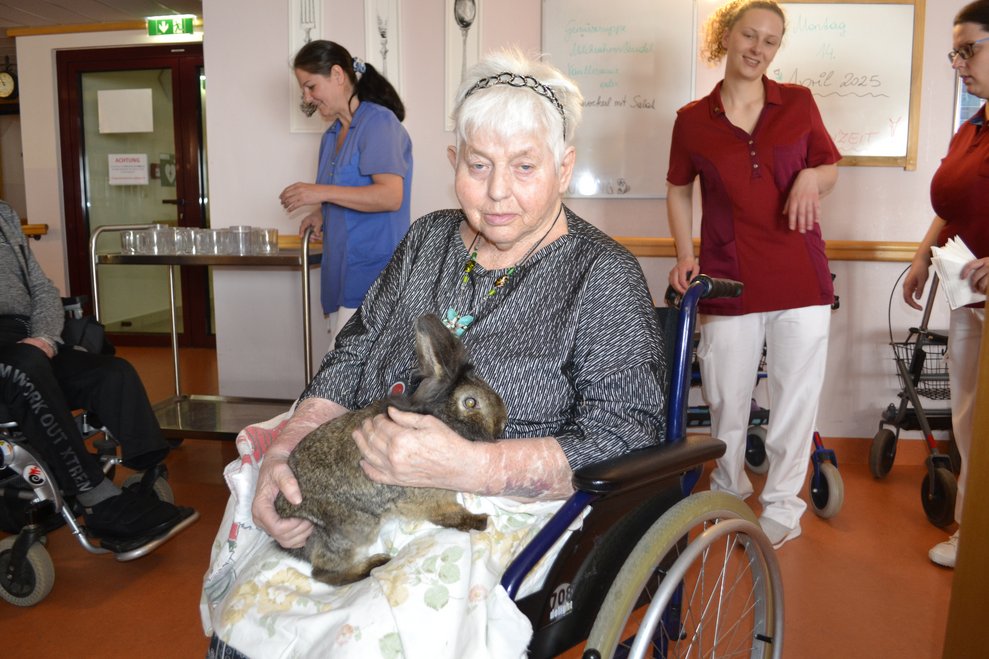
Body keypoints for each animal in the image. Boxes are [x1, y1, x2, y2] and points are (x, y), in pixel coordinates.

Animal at [274, 313, 507, 586]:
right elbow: (449, 514)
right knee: (322, 572)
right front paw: (479, 521)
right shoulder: (429, 497)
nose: (503, 423)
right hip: (357, 526)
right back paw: (375, 564)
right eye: (470, 402)